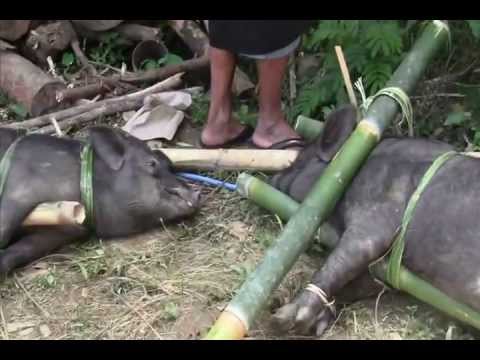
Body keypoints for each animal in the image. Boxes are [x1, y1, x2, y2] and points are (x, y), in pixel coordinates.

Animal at [0, 126, 201, 276]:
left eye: (169, 164)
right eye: (151, 163)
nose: (197, 193)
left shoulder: (59, 232)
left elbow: (21, 250)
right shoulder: (18, 191)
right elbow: (4, 229)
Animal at [270, 105, 480, 336]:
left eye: (298, 162)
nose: (272, 177)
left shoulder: (378, 218)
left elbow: (340, 262)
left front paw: (281, 319)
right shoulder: (389, 272)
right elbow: (360, 282)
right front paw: (316, 325)